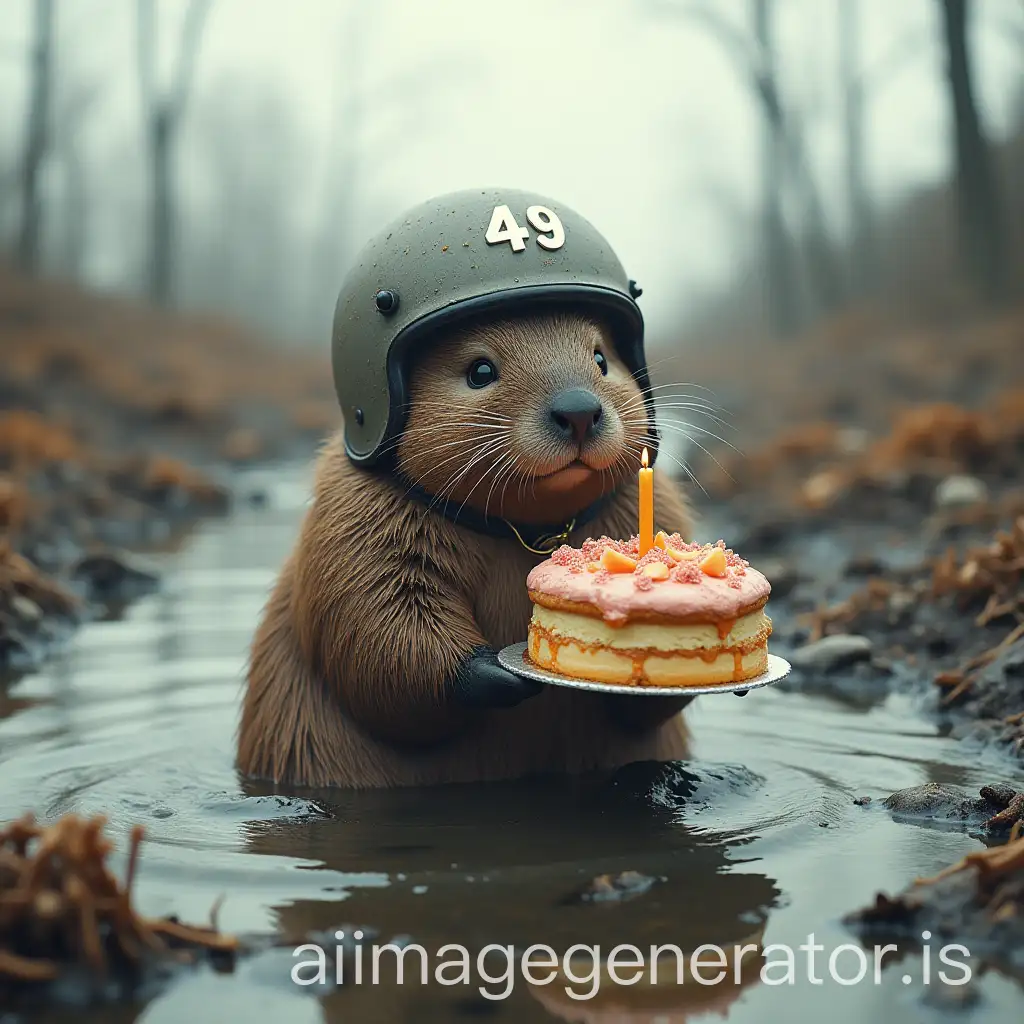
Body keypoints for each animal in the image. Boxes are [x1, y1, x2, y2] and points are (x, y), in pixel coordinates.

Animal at [235, 307, 692, 786]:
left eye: (602, 358)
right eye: (480, 370)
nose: (579, 412)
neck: (527, 530)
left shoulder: (649, 503)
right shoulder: (352, 518)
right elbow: (372, 630)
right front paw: (495, 672)